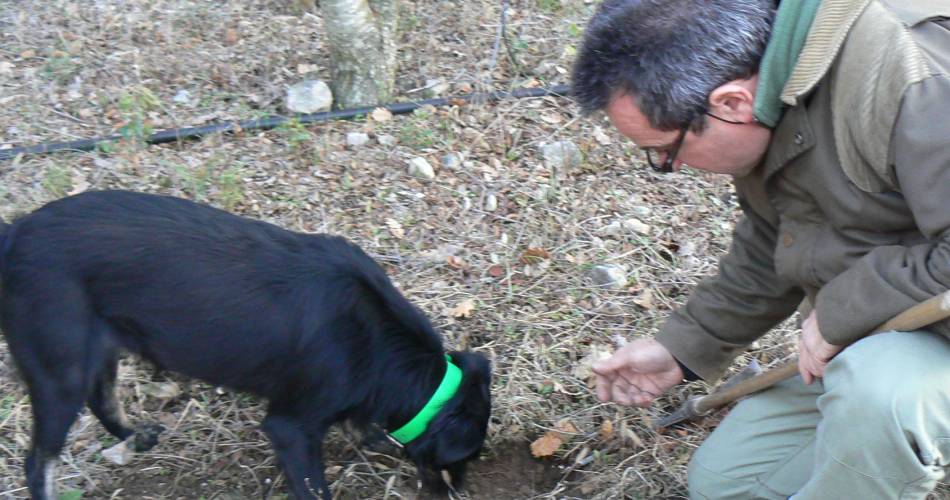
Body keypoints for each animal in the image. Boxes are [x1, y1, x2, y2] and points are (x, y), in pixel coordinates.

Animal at [0, 189, 490, 498]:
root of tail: (13, 234)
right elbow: (315, 487)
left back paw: (136, 436)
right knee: (38, 462)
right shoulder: (291, 427)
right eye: (461, 459)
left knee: (102, 399)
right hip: (59, 368)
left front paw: (372, 437)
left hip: (98, 346)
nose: (460, 492)